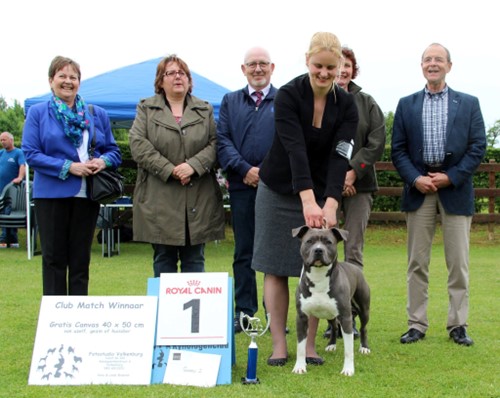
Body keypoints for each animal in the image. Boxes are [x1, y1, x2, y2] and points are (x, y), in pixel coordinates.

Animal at [292, 225, 370, 374]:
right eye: (309, 241)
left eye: (328, 242)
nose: (318, 250)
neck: (319, 277)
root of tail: (356, 268)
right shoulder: (302, 317)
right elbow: (300, 346)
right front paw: (299, 367)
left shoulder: (346, 317)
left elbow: (348, 349)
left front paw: (348, 370)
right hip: (330, 314)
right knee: (333, 327)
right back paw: (332, 344)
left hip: (364, 310)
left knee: (363, 328)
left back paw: (364, 347)